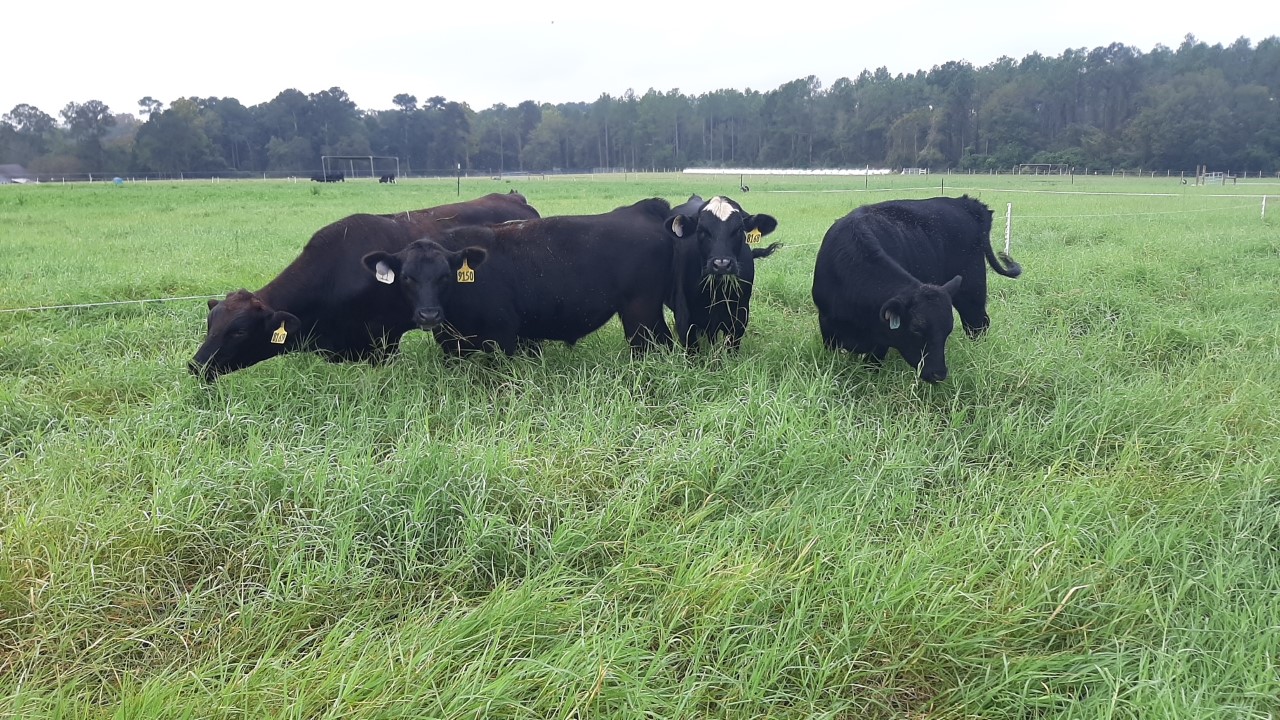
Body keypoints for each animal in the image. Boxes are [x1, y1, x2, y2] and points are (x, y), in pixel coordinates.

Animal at [360, 197, 675, 353]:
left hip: (640, 313)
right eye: (406, 277)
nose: (428, 315)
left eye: (445, 276)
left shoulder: (503, 337)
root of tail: (640, 209)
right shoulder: (451, 345)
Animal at [814, 190, 1024, 381]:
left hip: (972, 289)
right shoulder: (827, 327)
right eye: (916, 329)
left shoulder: (880, 341)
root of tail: (965, 203)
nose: (939, 374)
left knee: (978, 325)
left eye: (947, 330)